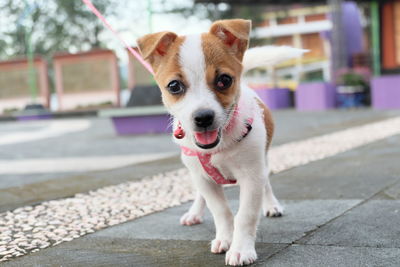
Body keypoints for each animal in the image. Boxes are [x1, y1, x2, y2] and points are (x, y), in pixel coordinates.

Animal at [138, 19, 304, 266]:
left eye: (224, 80)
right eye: (174, 86)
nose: (203, 117)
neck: (220, 145)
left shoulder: (252, 177)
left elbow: (245, 215)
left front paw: (241, 249)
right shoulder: (204, 179)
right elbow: (221, 211)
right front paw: (225, 238)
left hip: (262, 162)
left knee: (266, 183)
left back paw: (272, 205)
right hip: (196, 172)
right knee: (200, 194)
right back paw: (194, 213)